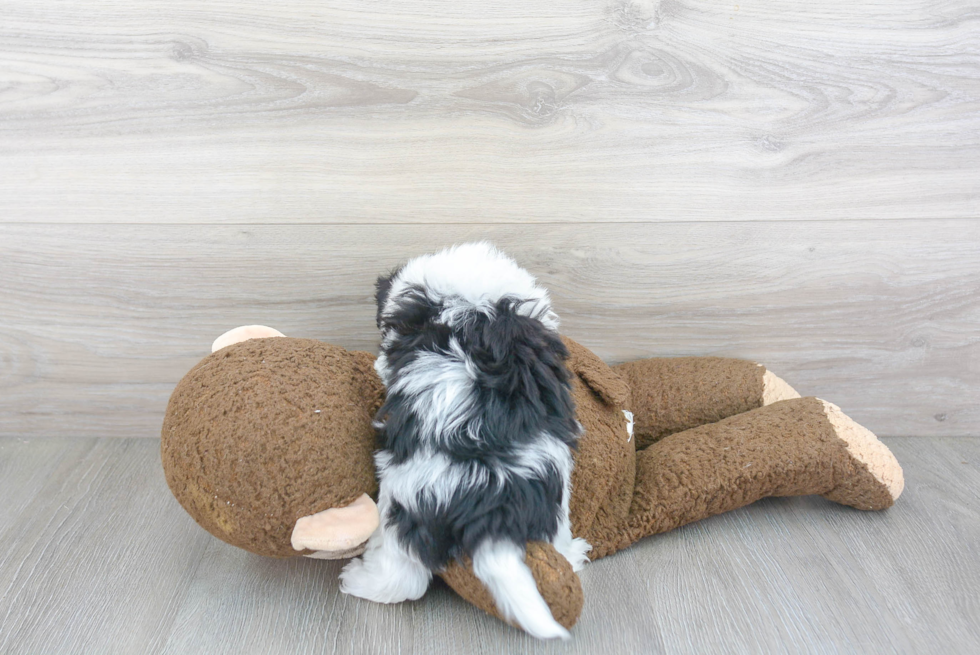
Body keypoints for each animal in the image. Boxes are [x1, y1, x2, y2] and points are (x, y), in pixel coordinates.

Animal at [340, 241, 588, 640]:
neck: (472, 305)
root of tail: (491, 506)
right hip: (554, 497)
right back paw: (572, 554)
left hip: (402, 503)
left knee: (403, 577)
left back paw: (359, 579)